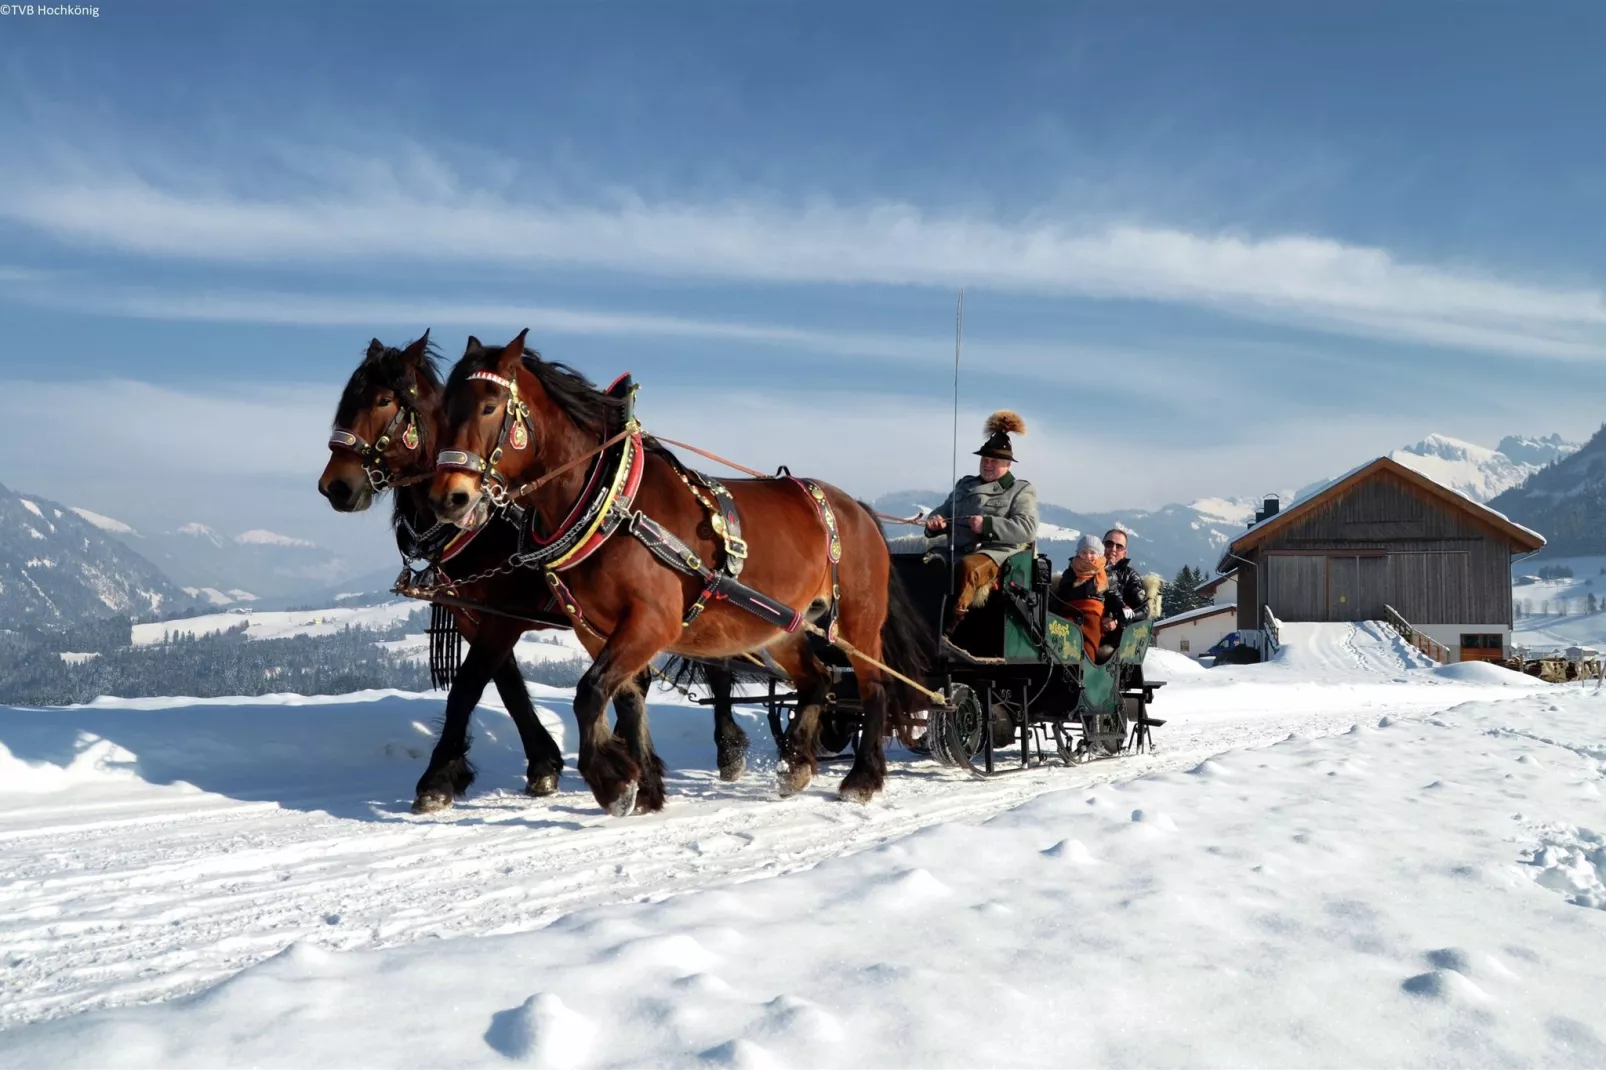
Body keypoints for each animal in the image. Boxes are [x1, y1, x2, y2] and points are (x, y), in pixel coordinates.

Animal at [427, 329, 931, 812]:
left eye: (489, 406)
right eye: (443, 411)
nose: (448, 498)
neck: (613, 504)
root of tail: (858, 509)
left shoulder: (653, 621)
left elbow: (589, 692)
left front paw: (612, 782)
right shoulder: (594, 628)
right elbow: (625, 698)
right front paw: (646, 787)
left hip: (858, 620)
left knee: (874, 687)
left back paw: (862, 778)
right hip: (782, 625)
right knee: (818, 680)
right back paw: (796, 765)